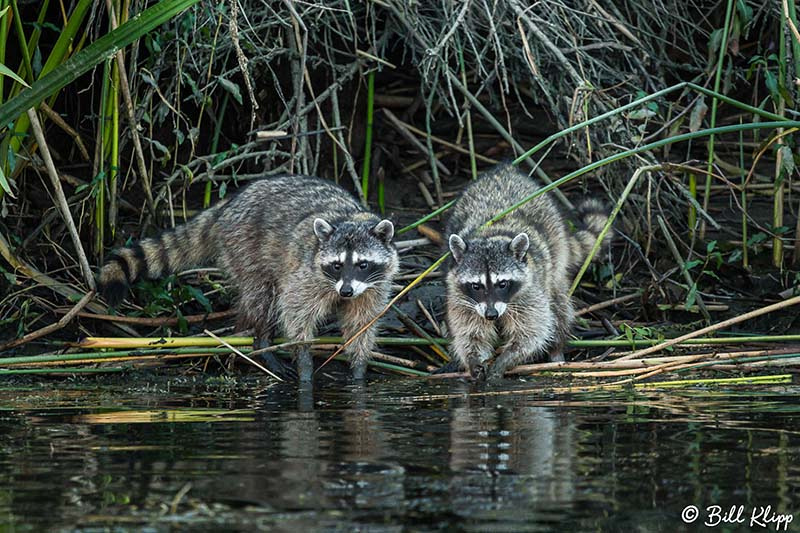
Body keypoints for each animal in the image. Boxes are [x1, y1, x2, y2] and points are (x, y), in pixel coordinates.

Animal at [98, 175, 398, 382]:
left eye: (362, 264)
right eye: (336, 265)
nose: (346, 292)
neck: (352, 219)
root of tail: (230, 202)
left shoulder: (373, 286)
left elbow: (362, 323)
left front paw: (358, 369)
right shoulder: (306, 275)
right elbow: (296, 314)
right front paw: (304, 362)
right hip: (244, 247)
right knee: (262, 298)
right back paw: (262, 343)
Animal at [446, 164, 608, 380]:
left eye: (502, 284)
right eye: (476, 286)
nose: (491, 315)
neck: (490, 234)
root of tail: (505, 169)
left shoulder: (530, 289)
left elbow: (532, 332)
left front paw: (506, 359)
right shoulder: (461, 298)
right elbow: (470, 333)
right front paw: (474, 360)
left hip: (556, 251)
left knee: (558, 303)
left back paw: (557, 348)